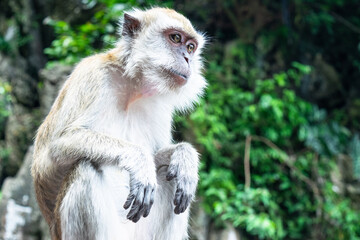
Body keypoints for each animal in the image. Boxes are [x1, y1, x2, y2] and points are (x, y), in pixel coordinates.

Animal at [32, 6, 207, 239]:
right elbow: (56, 147)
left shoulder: (161, 108)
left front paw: (185, 156)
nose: (187, 58)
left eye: (191, 47)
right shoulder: (92, 74)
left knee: (171, 174)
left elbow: (159, 157)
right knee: (85, 167)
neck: (132, 87)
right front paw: (139, 160)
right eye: (176, 38)